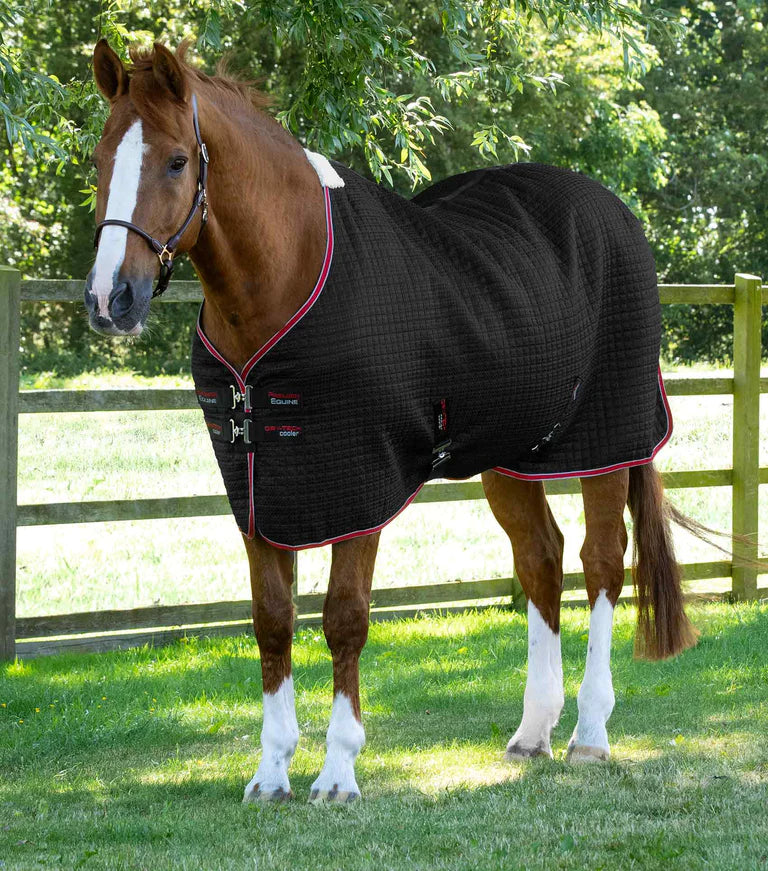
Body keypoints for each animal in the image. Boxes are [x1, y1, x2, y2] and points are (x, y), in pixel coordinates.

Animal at [85, 39, 698, 803]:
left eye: (175, 160)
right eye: (98, 160)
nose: (110, 299)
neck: (290, 275)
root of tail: (614, 211)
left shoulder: (362, 484)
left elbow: (344, 618)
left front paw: (338, 772)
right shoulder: (258, 488)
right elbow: (271, 620)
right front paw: (271, 771)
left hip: (605, 444)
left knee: (602, 561)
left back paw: (589, 733)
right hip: (510, 455)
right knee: (541, 559)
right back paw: (533, 731)